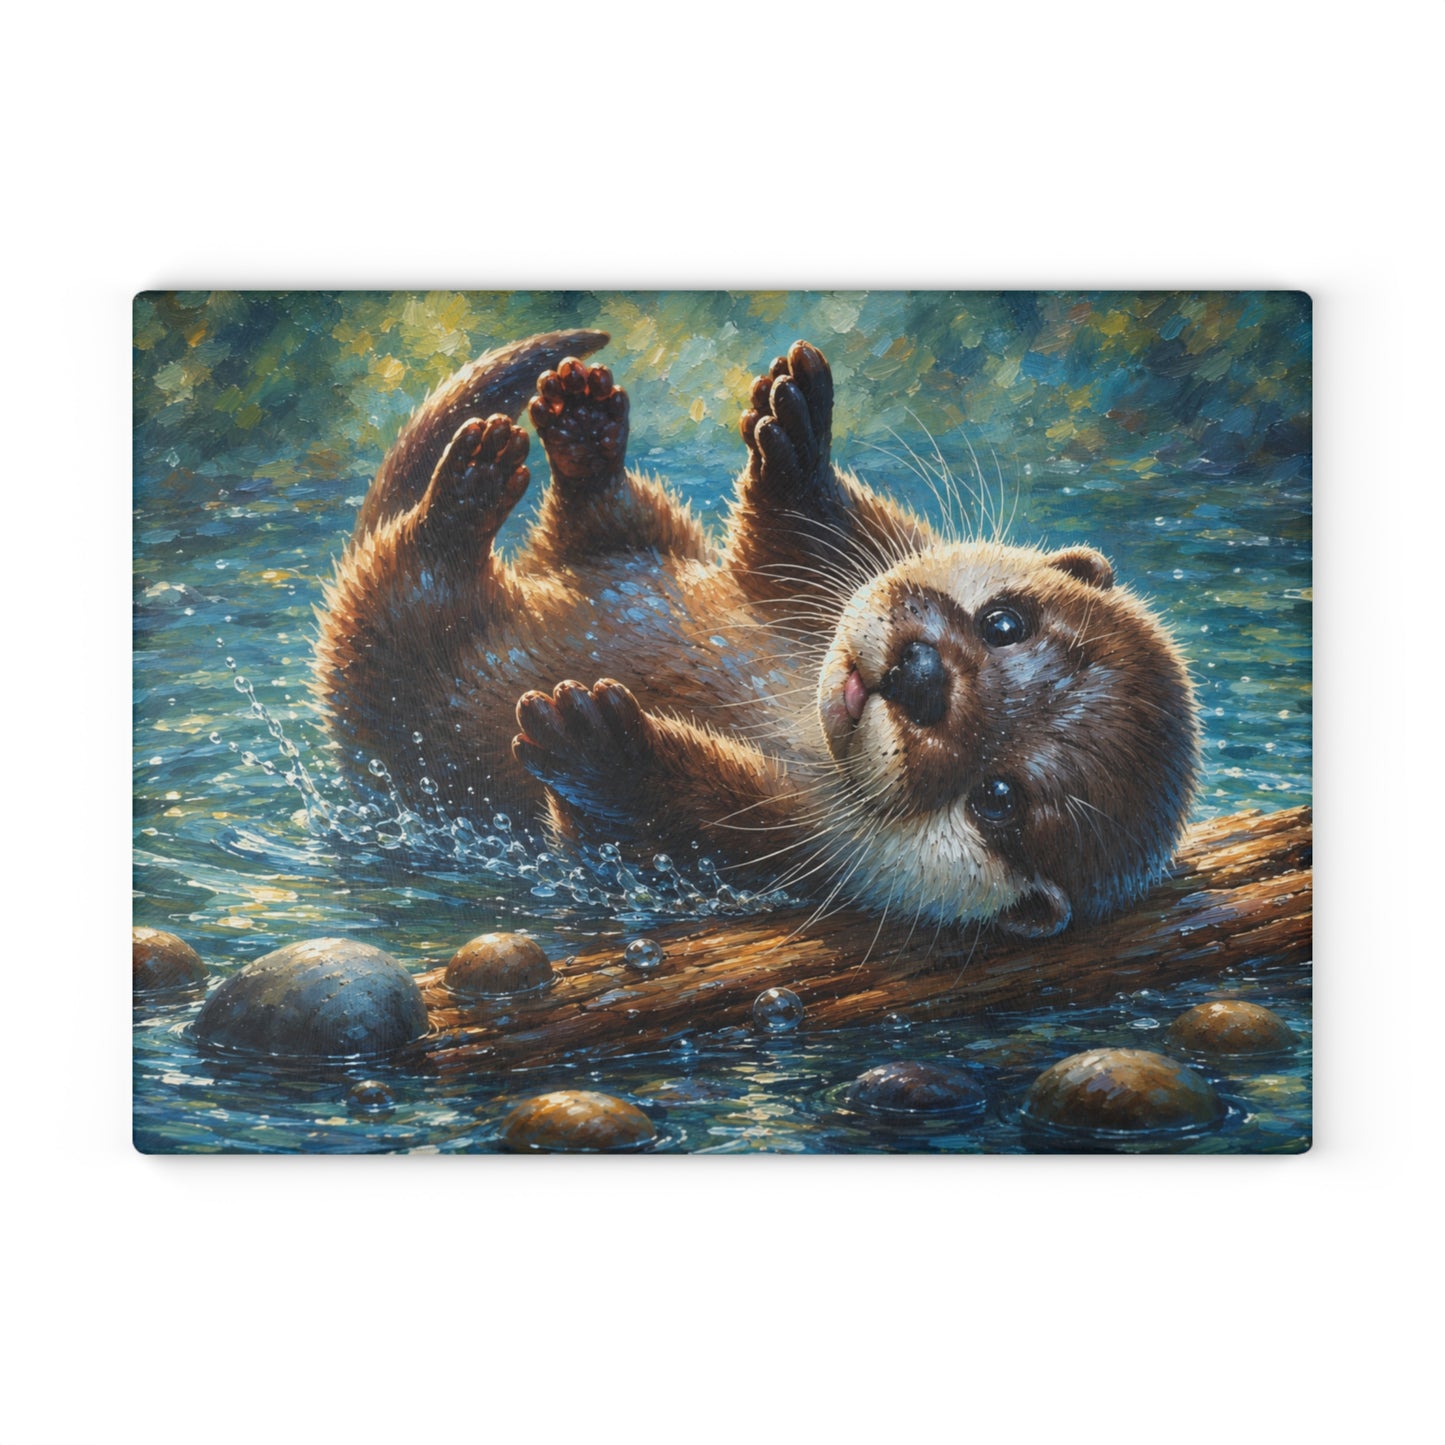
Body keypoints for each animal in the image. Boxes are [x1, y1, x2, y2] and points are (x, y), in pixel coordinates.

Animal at [313, 329, 1199, 936]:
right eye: (1004, 622)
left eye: (999, 798)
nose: (921, 678)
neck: (794, 717)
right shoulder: (857, 559)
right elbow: (797, 545)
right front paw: (798, 439)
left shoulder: (788, 855)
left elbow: (641, 831)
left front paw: (599, 746)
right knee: (605, 521)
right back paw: (578, 427)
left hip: (383, 652)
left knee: (411, 578)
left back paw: (464, 496)